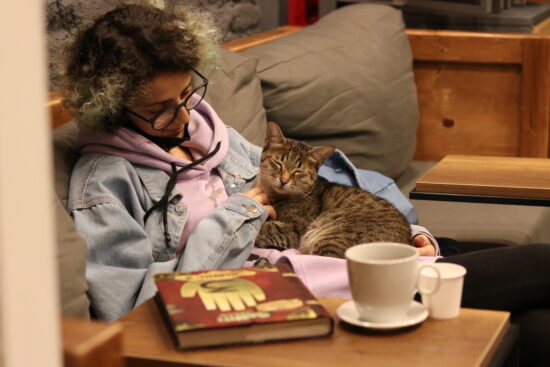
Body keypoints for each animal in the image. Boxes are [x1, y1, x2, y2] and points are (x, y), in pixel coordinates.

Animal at [256, 123, 412, 258]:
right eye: (278, 163)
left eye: (298, 171)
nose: (283, 180)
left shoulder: (294, 230)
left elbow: (268, 228)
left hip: (333, 237)